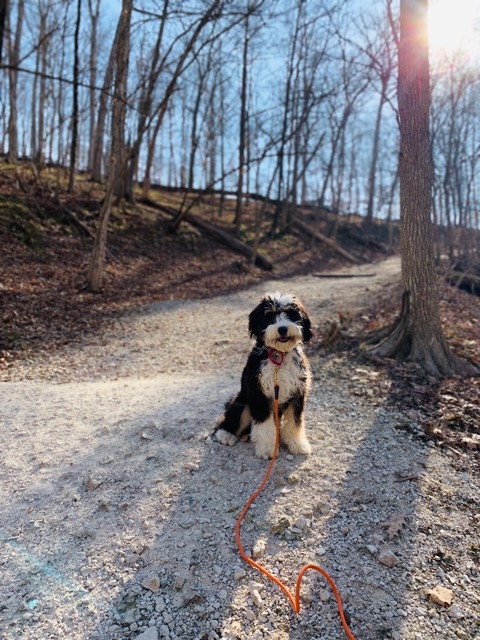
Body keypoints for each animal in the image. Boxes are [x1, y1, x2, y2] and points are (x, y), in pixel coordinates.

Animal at [213, 292, 312, 458]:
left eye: (291, 313)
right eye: (269, 315)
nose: (282, 329)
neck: (279, 356)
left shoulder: (297, 393)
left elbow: (294, 422)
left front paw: (298, 445)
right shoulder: (259, 393)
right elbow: (264, 425)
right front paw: (267, 449)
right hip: (243, 405)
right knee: (227, 421)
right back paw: (226, 435)